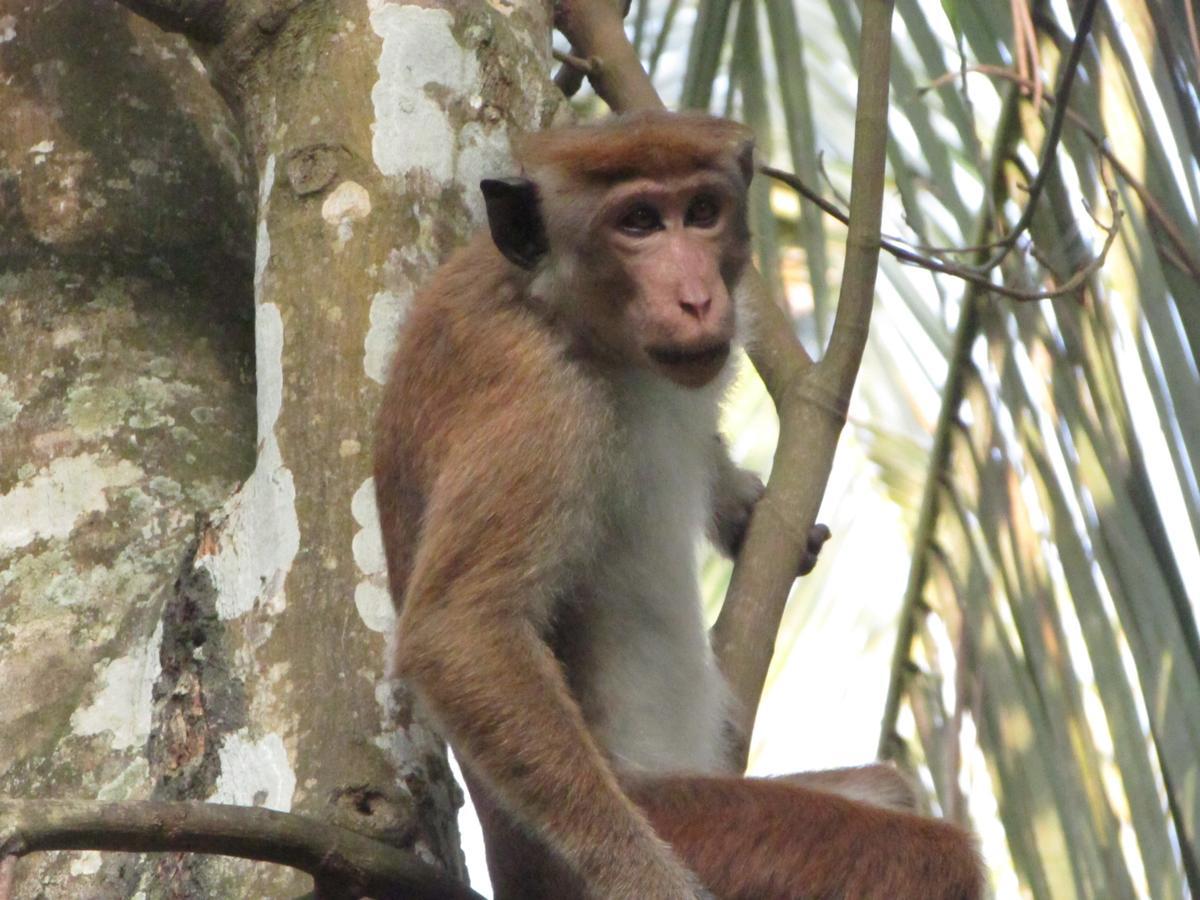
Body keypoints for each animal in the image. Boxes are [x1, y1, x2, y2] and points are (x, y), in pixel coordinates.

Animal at [374, 112, 984, 900]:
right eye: (637, 222)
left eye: (701, 212)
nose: (696, 298)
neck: (556, 310)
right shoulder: (537, 402)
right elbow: (459, 631)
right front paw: (638, 871)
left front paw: (745, 508)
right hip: (696, 826)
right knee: (926, 859)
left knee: (888, 791)